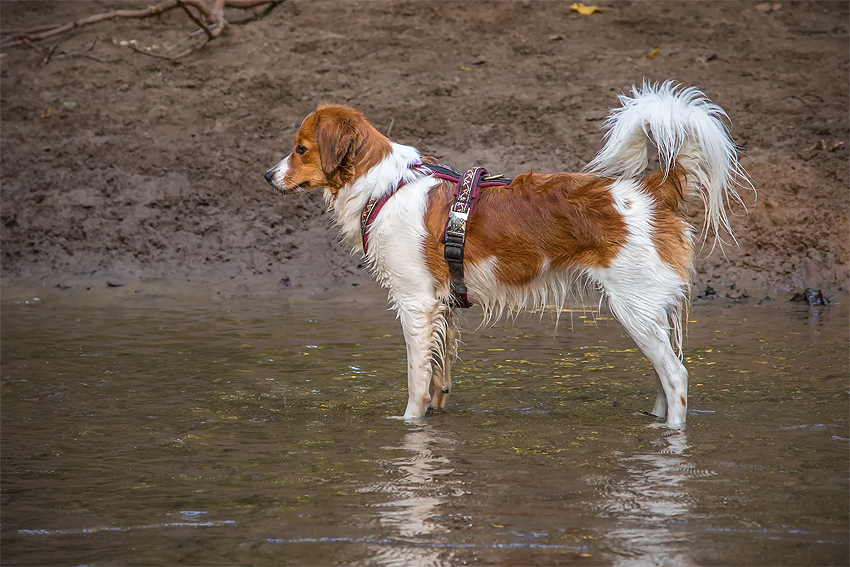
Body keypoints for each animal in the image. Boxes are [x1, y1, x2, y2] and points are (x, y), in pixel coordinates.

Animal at [264, 80, 744, 426]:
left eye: (301, 149)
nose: (268, 175)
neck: (384, 186)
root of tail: (652, 190)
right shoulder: (443, 307)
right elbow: (439, 379)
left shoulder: (416, 304)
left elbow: (417, 381)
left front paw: (408, 425)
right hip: (646, 313)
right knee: (665, 374)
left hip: (634, 307)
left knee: (677, 376)